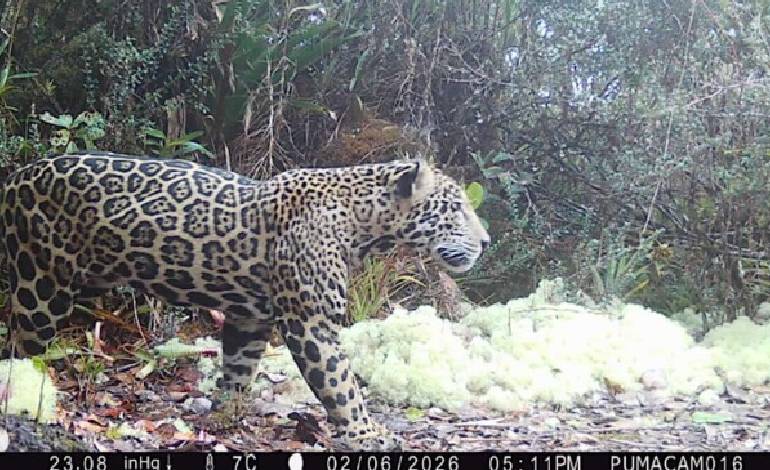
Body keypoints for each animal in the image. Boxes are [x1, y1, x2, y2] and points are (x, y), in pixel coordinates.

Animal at [0, 151, 490, 450]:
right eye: (456, 208)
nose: (486, 242)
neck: (363, 223)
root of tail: (17, 175)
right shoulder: (311, 322)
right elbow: (342, 385)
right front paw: (366, 433)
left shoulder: (249, 318)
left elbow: (239, 369)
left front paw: (225, 416)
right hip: (40, 282)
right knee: (23, 342)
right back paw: (27, 395)